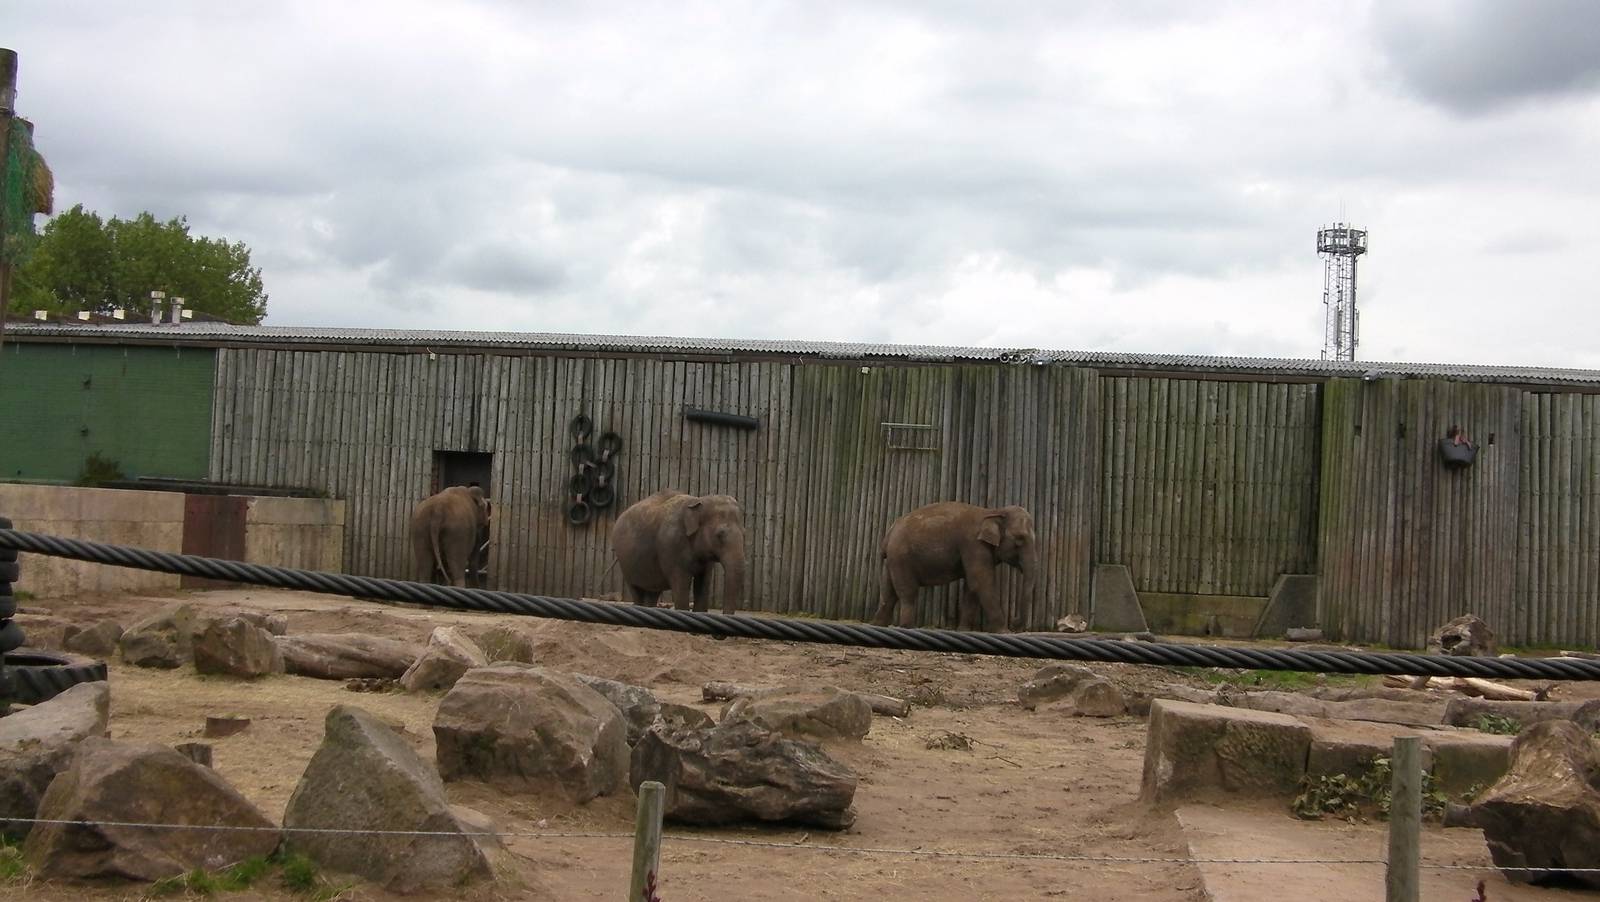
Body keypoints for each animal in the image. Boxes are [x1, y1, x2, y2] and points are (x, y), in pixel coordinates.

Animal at [611, 490, 747, 614]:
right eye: (719, 535)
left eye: (744, 533)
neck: (697, 500)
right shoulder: (671, 545)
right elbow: (681, 582)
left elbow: (703, 582)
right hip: (625, 563)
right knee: (636, 589)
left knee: (652, 592)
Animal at [871, 502, 1039, 632]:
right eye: (1019, 539)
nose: (1015, 622)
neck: (993, 512)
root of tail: (888, 535)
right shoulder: (973, 544)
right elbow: (981, 582)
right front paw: (1004, 632)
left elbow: (971, 586)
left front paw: (964, 630)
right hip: (901, 557)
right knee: (907, 591)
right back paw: (907, 627)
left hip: (892, 559)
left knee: (889, 591)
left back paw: (878, 625)